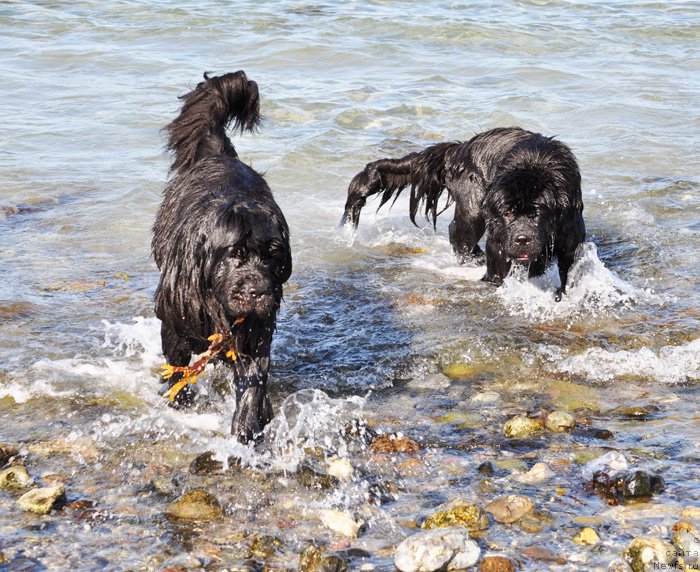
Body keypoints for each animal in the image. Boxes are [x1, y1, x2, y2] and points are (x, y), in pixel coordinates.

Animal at [153, 71, 292, 444]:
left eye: (273, 256)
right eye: (235, 253)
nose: (257, 291)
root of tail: (217, 153)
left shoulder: (256, 329)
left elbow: (253, 378)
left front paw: (247, 427)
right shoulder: (174, 320)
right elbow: (177, 365)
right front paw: (180, 400)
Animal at [342, 128, 584, 302]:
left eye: (536, 214)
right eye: (507, 213)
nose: (521, 239)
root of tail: (459, 148)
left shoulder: (570, 233)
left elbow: (568, 266)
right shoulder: (498, 236)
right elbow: (497, 266)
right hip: (473, 209)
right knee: (459, 232)